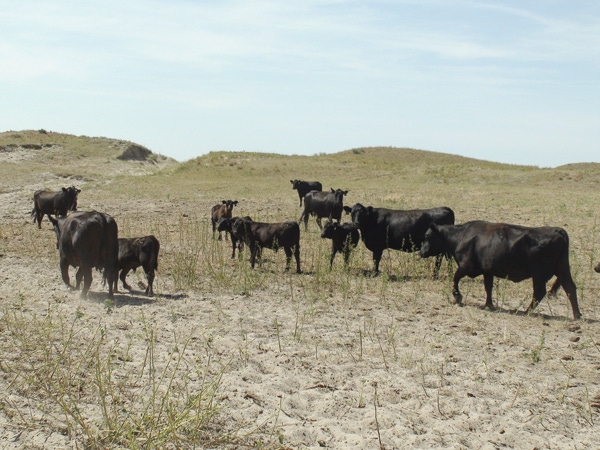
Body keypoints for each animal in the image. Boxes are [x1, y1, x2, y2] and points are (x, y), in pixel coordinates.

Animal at [418, 221, 580, 320]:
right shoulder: (487, 271)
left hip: (539, 274)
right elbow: (488, 287)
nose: (421, 252)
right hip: (562, 269)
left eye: (427, 236)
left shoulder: (465, 266)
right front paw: (489, 304)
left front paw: (457, 296)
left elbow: (455, 279)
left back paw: (525, 311)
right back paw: (577, 314)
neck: (461, 236)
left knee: (540, 293)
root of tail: (556, 230)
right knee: (570, 288)